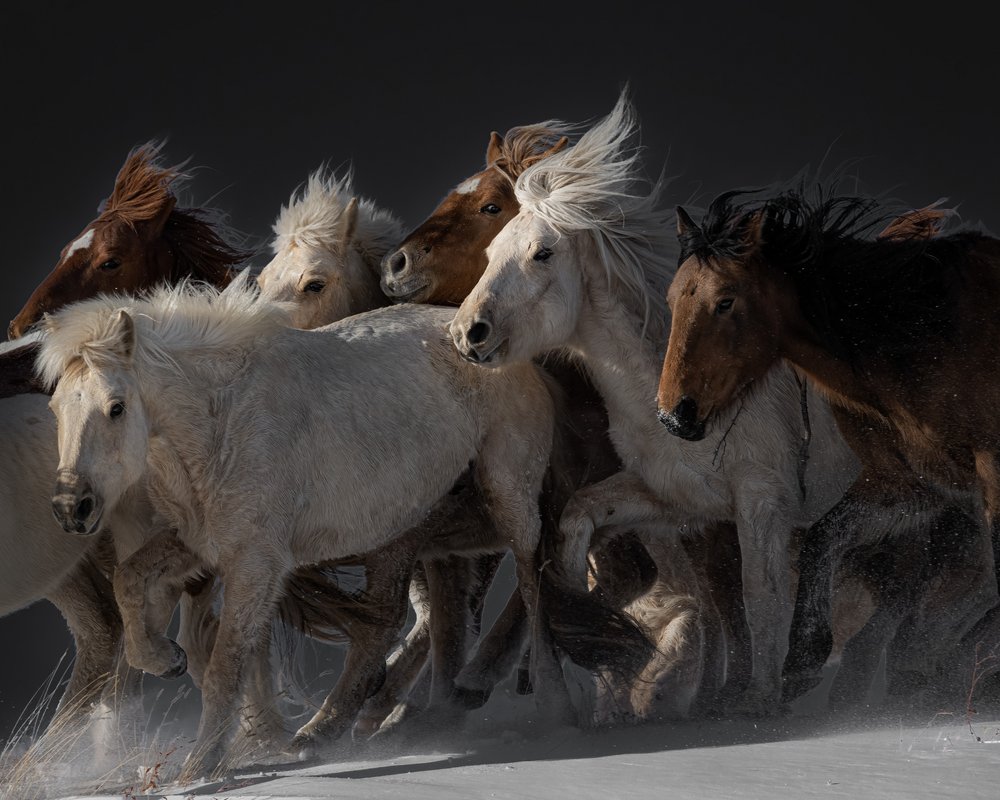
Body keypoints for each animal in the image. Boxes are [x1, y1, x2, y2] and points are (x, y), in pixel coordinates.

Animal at [38, 276, 652, 781]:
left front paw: (199, 767)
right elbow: (130, 584)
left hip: (508, 501)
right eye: (55, 409)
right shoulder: (201, 544)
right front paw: (165, 660)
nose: (73, 507)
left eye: (116, 407)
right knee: (411, 622)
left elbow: (227, 664)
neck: (222, 422)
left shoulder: (256, 562)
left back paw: (545, 703)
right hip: (416, 533)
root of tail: (507, 352)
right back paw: (346, 726)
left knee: (529, 584)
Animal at [449, 91, 861, 716]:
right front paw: (588, 631)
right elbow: (577, 521)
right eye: (492, 250)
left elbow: (760, 599)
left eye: (543, 253)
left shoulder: (764, 500)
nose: (467, 332)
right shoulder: (675, 497)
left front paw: (759, 702)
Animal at [656, 184, 1000, 705]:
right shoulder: (913, 484)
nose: (676, 413)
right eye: (674, 300)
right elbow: (825, 535)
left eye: (725, 302)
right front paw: (803, 658)